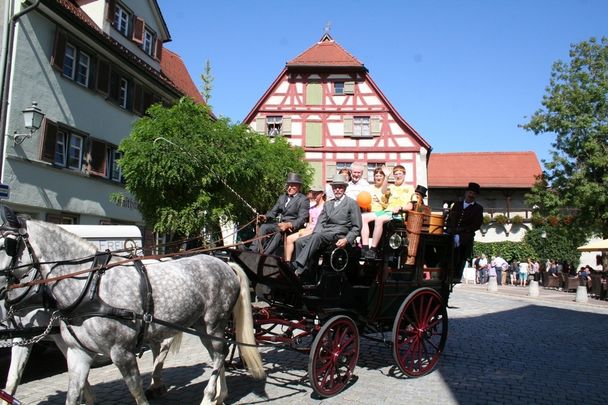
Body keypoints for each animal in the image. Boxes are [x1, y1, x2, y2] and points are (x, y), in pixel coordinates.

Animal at [0, 208, 266, 404]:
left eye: (8, 244)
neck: (91, 287)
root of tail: (224, 263)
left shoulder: (122, 352)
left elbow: (136, 392)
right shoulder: (78, 353)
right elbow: (70, 393)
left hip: (214, 322)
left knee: (219, 355)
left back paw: (209, 396)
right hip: (201, 326)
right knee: (215, 356)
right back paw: (220, 395)